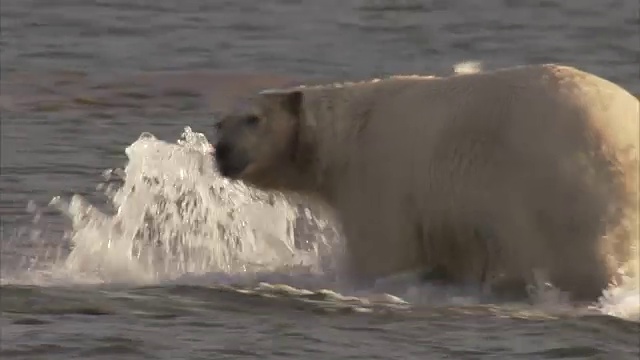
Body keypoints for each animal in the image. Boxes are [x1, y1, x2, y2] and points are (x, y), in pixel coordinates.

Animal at [214, 64, 640, 300]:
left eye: (253, 119)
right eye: (220, 122)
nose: (222, 152)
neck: (350, 134)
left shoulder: (381, 178)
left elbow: (384, 252)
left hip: (565, 187)